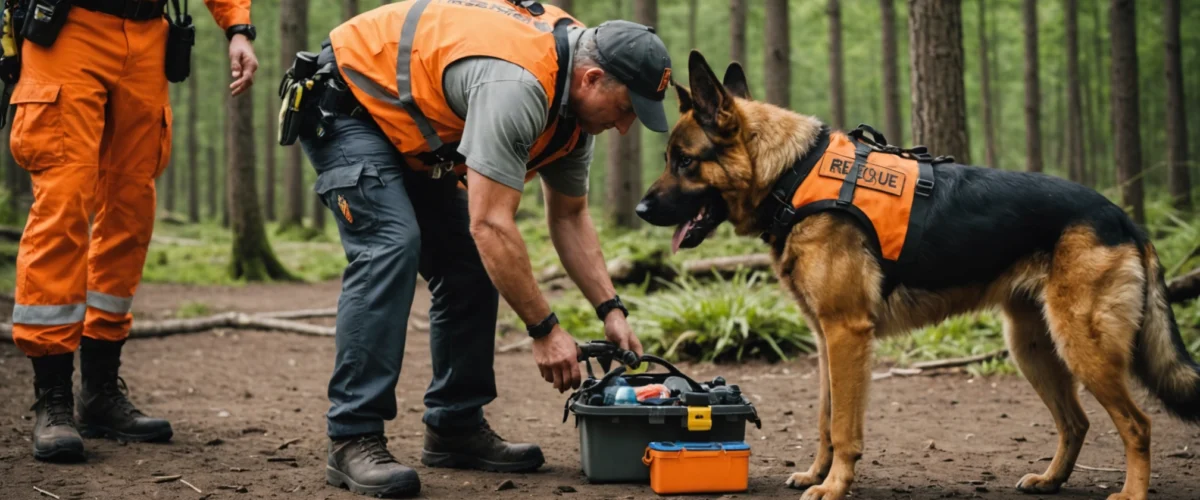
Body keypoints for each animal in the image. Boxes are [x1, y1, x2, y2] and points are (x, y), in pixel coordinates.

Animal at [638, 50, 1200, 498]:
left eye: (683, 161)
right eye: (669, 159)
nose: (641, 210)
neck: (792, 173)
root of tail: (1125, 219)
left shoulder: (847, 334)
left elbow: (843, 427)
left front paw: (834, 486)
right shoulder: (825, 340)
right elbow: (823, 420)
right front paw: (816, 474)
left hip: (1083, 347)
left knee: (1138, 424)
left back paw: (1131, 492)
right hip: (1033, 348)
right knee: (1076, 421)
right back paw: (1050, 480)